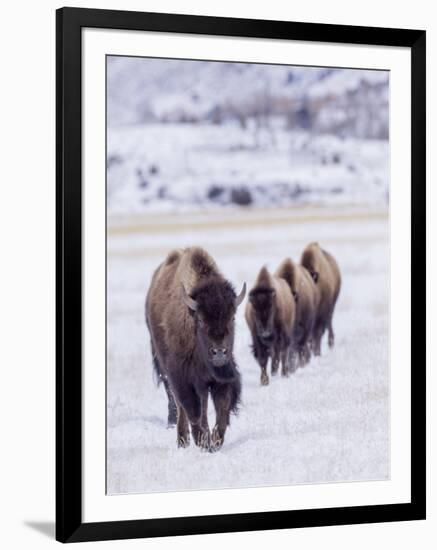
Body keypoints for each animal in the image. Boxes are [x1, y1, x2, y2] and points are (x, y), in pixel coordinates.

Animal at [146, 247, 245, 452]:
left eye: (232, 318)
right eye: (200, 319)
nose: (219, 352)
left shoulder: (220, 378)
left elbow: (222, 409)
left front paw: (214, 442)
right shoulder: (183, 378)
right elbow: (193, 410)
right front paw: (202, 441)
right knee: (180, 405)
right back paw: (183, 440)